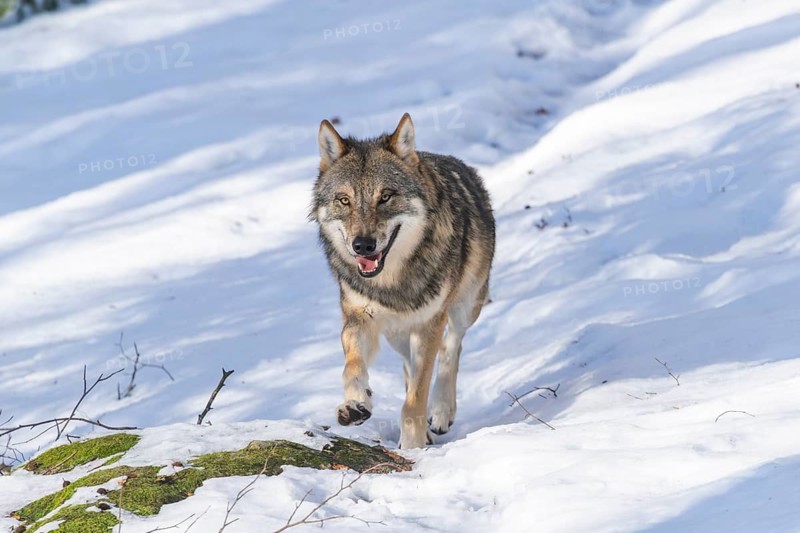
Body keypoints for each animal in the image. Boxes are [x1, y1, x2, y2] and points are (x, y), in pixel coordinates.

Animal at [310, 113, 495, 449]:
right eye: (344, 200)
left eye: (385, 196)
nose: (363, 245)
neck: (391, 283)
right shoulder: (359, 318)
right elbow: (352, 366)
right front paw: (355, 403)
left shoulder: (428, 325)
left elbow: (415, 399)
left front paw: (413, 446)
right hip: (397, 336)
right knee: (410, 366)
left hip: (464, 307)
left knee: (452, 346)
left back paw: (441, 412)